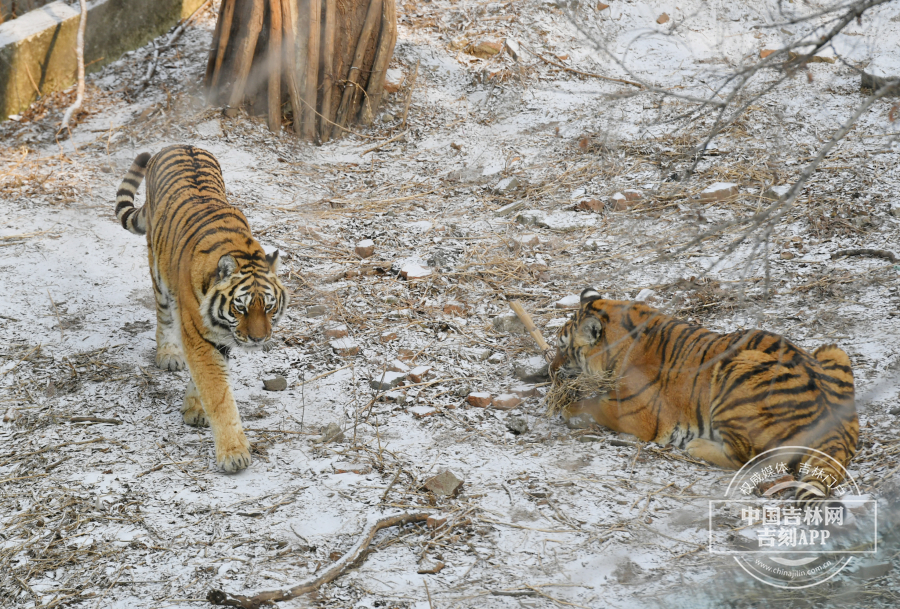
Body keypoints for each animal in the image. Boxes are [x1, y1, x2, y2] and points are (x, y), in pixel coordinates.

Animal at [115, 144, 288, 472]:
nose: (258, 340)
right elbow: (218, 393)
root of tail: (179, 144)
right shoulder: (199, 334)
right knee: (164, 318)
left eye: (269, 307)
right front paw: (234, 454)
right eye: (241, 308)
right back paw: (168, 354)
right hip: (158, 274)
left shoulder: (221, 337)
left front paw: (195, 407)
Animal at [550, 288, 858, 502]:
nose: (550, 369)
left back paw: (696, 446)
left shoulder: (632, 413)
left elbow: (591, 405)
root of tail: (837, 426)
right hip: (833, 351)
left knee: (749, 459)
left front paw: (568, 410)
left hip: (738, 374)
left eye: (563, 347)